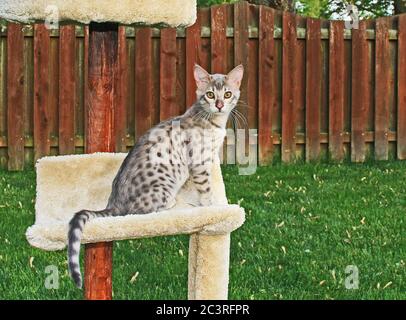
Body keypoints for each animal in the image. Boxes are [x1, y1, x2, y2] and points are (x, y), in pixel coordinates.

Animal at [68, 63, 244, 288]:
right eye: (210, 94)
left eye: (228, 94)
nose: (220, 105)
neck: (212, 122)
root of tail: (114, 202)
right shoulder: (198, 162)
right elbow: (205, 189)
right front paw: (212, 207)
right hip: (161, 188)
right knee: (139, 212)